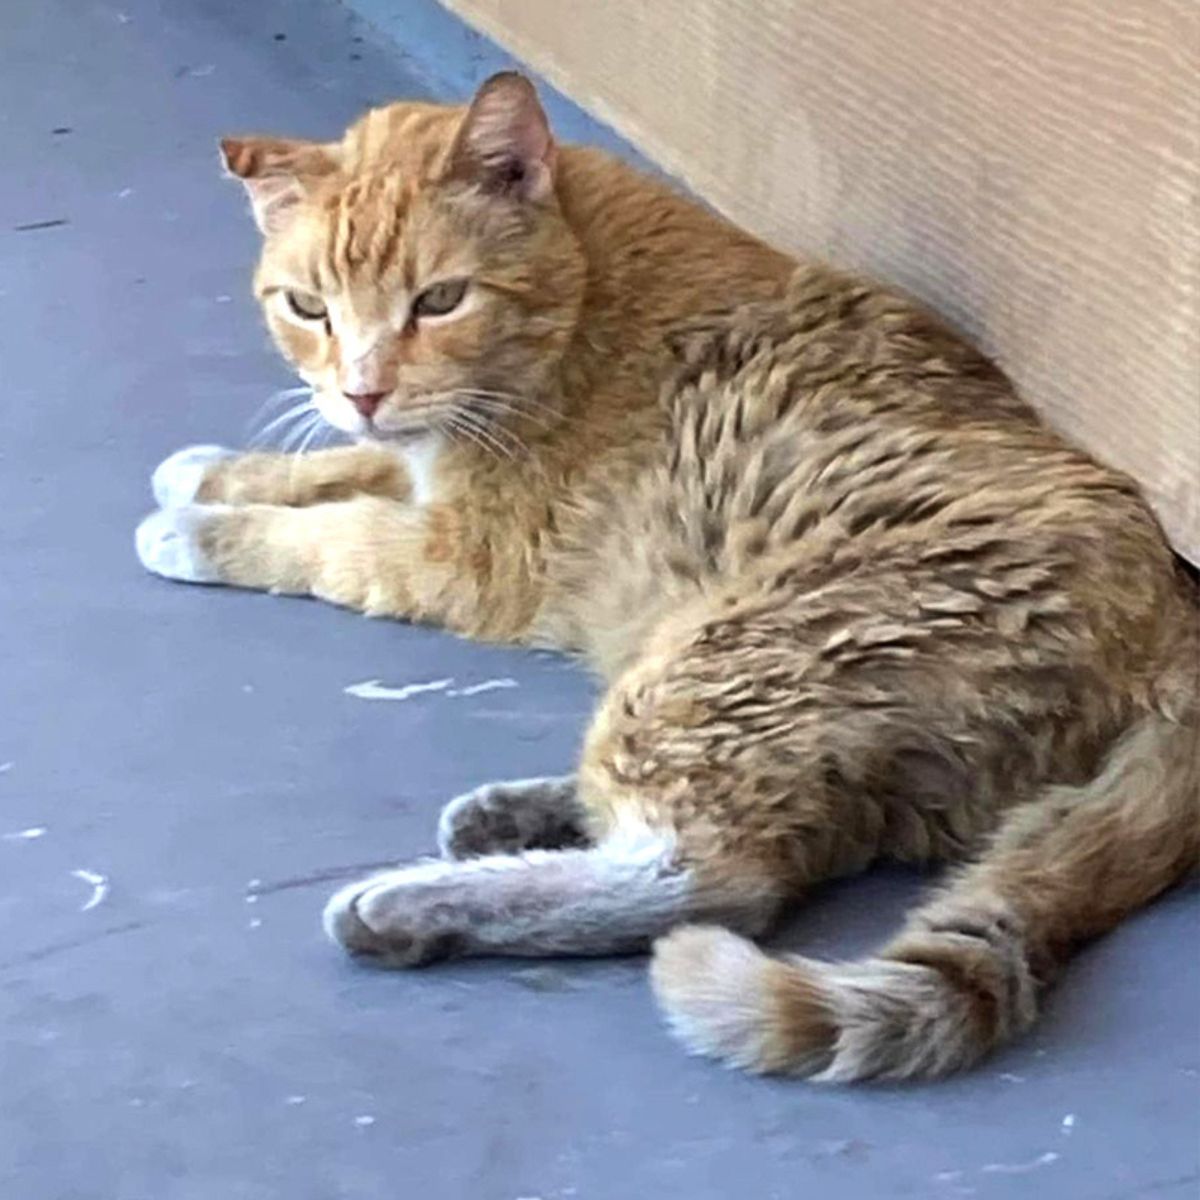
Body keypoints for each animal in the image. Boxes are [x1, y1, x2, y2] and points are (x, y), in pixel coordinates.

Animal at [136, 79, 1195, 1084]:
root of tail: (1174, 630)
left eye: (439, 301)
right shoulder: (421, 465)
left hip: (735, 655)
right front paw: (225, 469)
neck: (583, 294)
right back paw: (518, 814)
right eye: (307, 309)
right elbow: (345, 468)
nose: (362, 389)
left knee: (710, 877)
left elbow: (325, 536)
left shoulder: (466, 556)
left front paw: (203, 525)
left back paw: (416, 904)